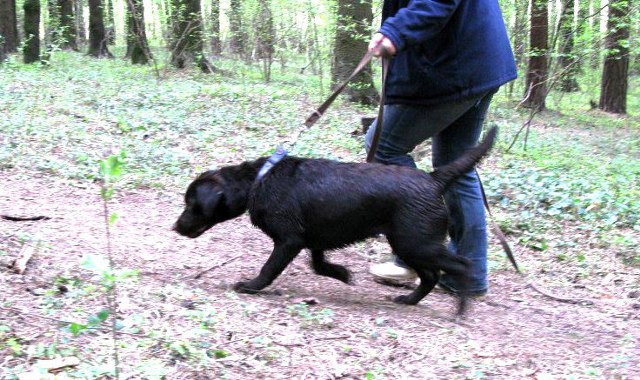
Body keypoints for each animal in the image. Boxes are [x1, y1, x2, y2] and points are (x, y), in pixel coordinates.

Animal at [175, 126, 500, 314]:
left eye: (191, 204)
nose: (175, 226)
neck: (259, 180)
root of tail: (434, 181)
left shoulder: (289, 240)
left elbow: (269, 269)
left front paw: (251, 285)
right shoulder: (314, 238)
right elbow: (318, 264)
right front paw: (342, 273)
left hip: (416, 242)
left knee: (462, 265)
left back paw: (461, 308)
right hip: (409, 243)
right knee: (430, 275)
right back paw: (410, 301)